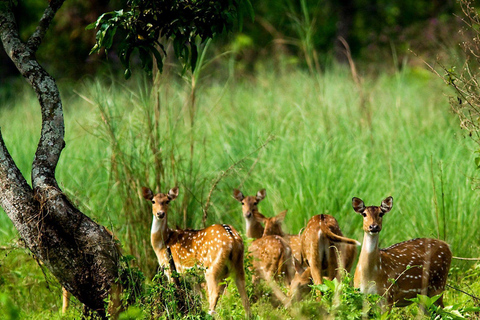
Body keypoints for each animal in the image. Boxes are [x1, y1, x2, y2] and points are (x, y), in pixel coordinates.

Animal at [143, 186, 251, 316]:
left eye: (167, 201)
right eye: (153, 201)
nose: (160, 213)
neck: (163, 243)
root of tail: (232, 238)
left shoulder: (171, 270)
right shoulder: (193, 278)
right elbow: (198, 299)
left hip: (211, 267)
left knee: (214, 294)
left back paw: (210, 314)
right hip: (238, 265)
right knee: (244, 296)